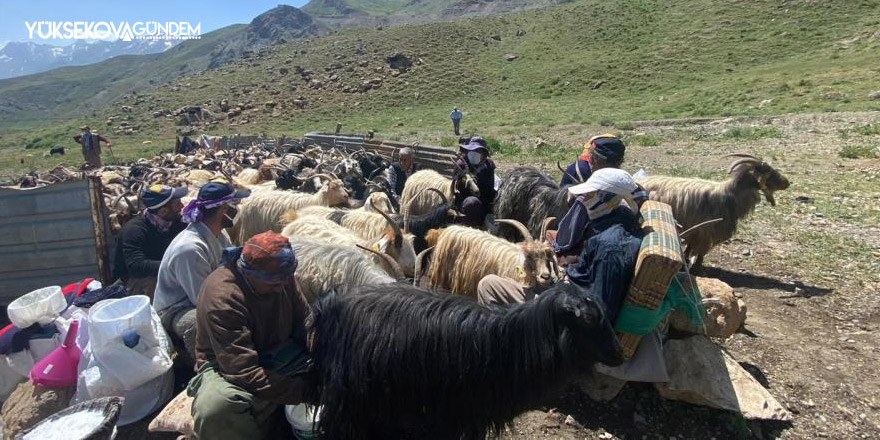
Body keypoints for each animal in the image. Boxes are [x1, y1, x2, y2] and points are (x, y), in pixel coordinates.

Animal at [312, 282, 624, 440]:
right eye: (588, 319)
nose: (618, 354)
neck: (511, 344)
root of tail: (332, 303)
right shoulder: (455, 414)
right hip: (350, 400)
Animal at [640, 155, 792, 268]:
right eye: (769, 171)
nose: (787, 183)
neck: (731, 195)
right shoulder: (706, 231)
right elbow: (700, 251)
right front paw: (698, 265)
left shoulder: (697, 231)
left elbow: (690, 247)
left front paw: (688, 259)